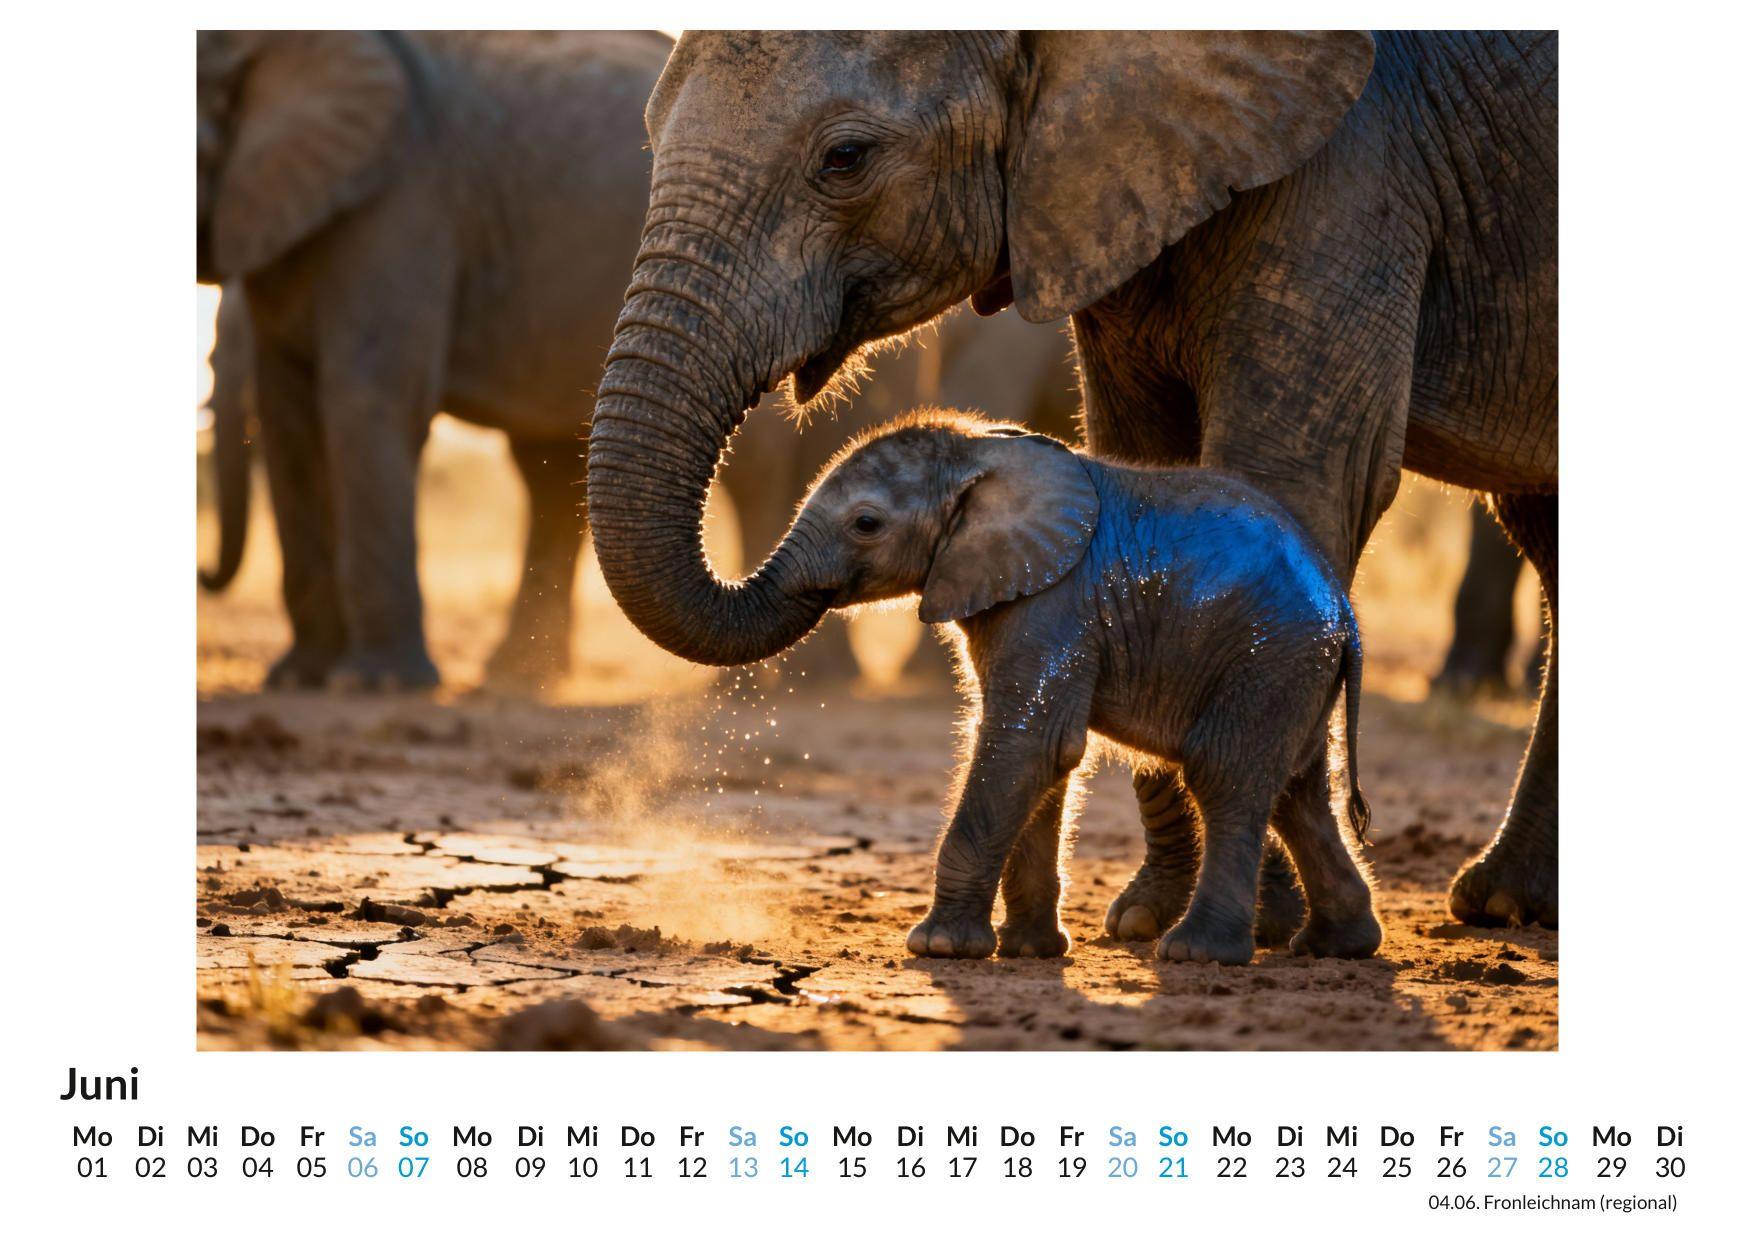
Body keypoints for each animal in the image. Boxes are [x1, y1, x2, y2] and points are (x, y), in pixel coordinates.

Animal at [196, 30, 673, 690]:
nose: (201, 573)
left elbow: (368, 403)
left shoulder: (404, 204)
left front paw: (378, 687)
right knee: (550, 467)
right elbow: (288, 421)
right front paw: (297, 681)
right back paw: (515, 677)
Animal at [765, 412, 1376, 963]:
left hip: (1268, 656)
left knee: (1224, 770)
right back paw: (1337, 946)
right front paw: (1029, 951)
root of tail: (1346, 615)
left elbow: (1027, 744)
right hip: (1292, 670)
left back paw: (1198, 953)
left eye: (865, 523)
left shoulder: (1055, 602)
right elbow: (1042, 756)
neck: (978, 448)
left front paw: (939, 947)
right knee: (1298, 792)